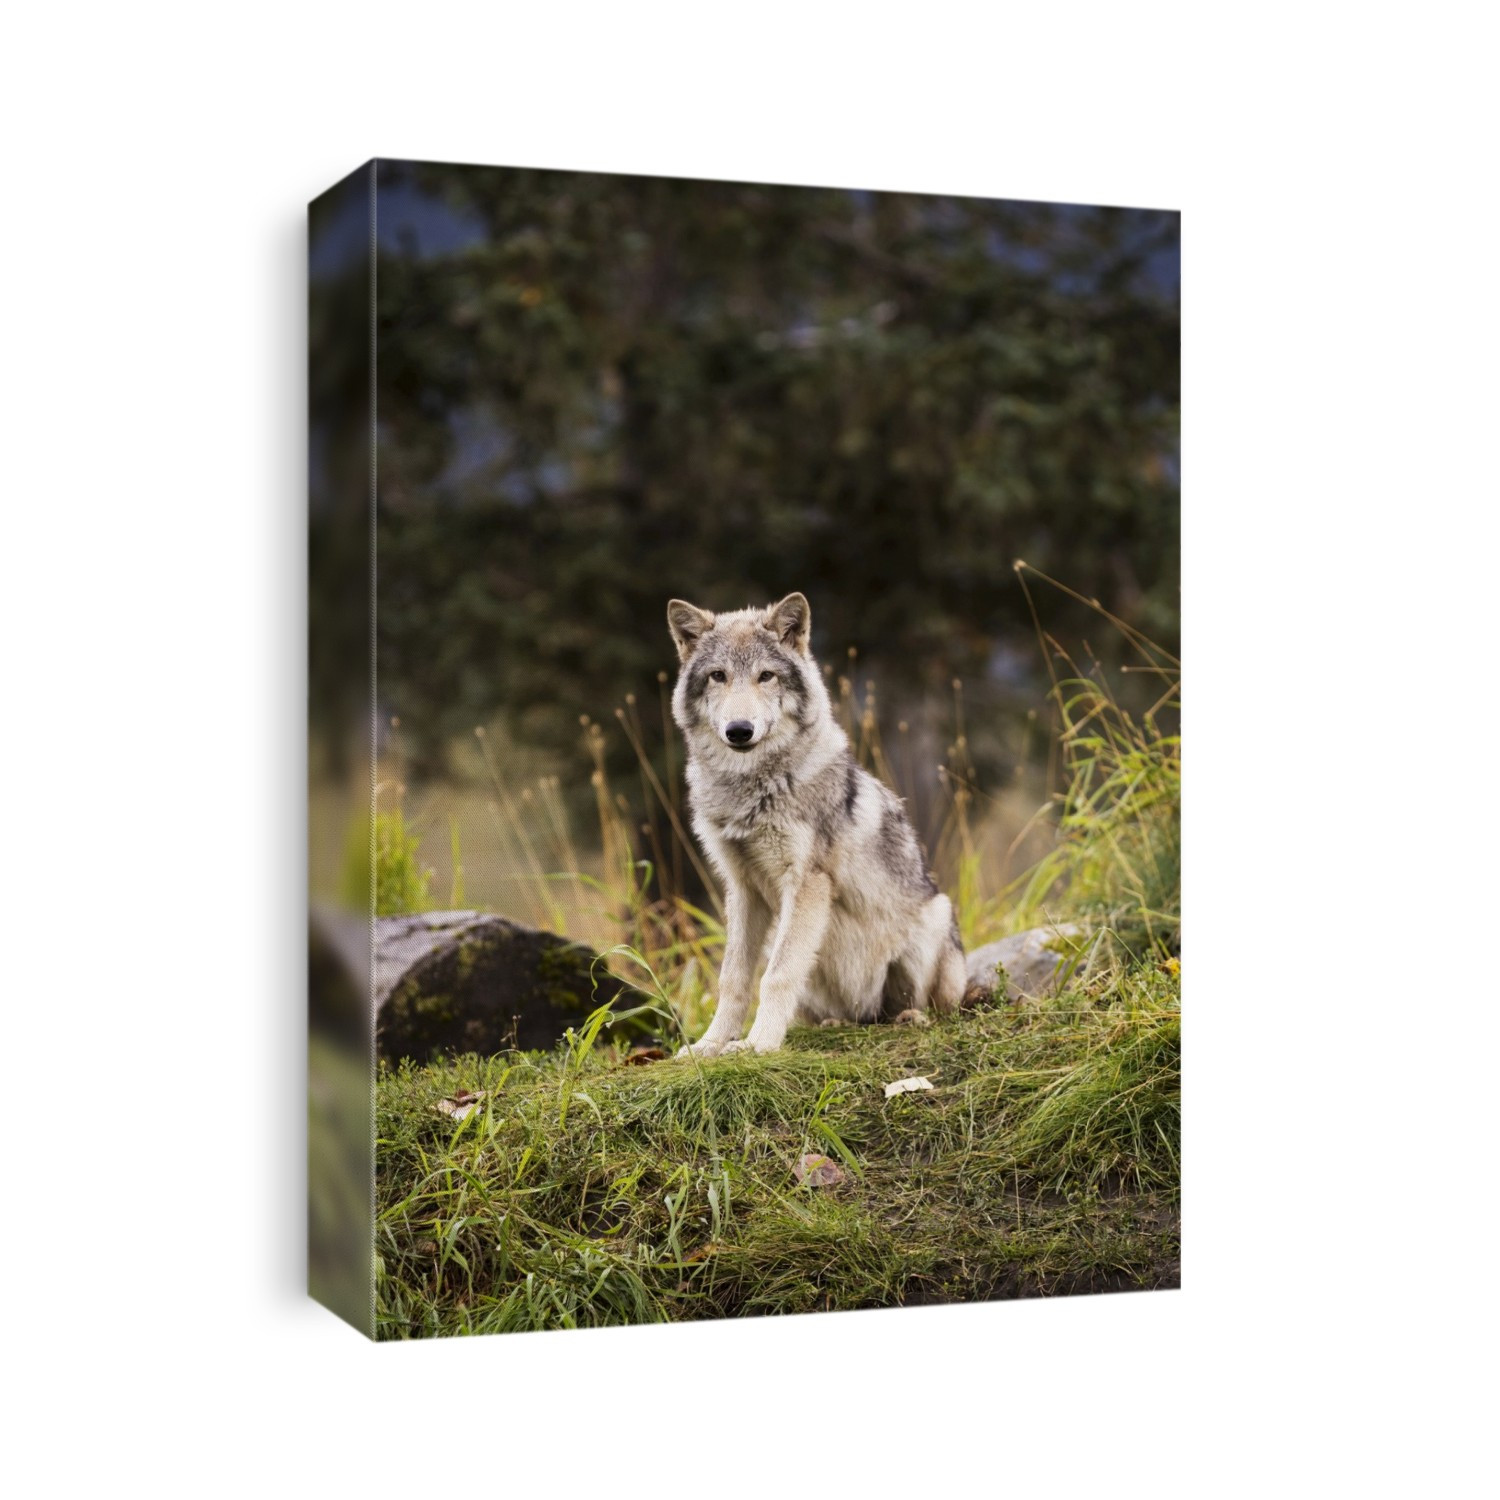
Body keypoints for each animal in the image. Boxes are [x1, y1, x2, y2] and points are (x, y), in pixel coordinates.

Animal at [667, 591, 967, 1056]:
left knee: (923, 1008)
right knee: (853, 1016)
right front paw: (710, 1045)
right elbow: (733, 979)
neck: (751, 788)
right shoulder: (742, 888)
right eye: (718, 676)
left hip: (934, 919)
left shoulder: (807, 882)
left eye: (766, 676)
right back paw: (835, 1023)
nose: (739, 730)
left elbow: (776, 975)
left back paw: (909, 1018)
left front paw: (758, 1044)